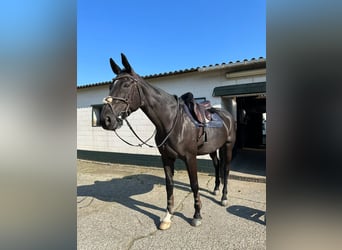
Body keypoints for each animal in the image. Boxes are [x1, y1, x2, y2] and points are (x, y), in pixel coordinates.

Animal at [100, 53, 236, 229]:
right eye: (110, 86)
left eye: (126, 84)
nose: (106, 119)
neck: (172, 121)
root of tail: (227, 115)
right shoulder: (166, 158)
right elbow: (169, 184)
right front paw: (167, 216)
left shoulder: (190, 157)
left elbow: (194, 184)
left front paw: (197, 215)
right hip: (213, 149)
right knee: (217, 165)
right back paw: (216, 189)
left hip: (228, 147)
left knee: (226, 169)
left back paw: (224, 197)